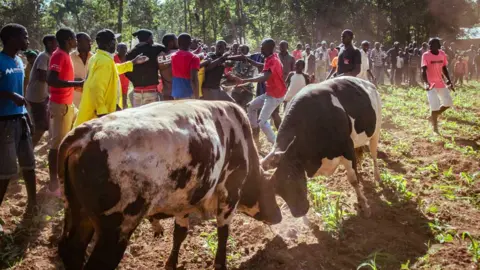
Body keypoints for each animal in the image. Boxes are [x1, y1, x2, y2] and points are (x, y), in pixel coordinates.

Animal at [57, 100, 282, 270]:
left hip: (78, 213)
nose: (279, 216)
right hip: (115, 230)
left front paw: (171, 263)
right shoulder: (229, 194)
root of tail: (86, 134)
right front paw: (220, 263)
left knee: (71, 250)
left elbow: (179, 235)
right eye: (271, 189)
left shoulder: (184, 203)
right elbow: (223, 232)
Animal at [260, 76, 380, 217]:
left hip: (375, 133)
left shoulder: (347, 149)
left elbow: (353, 180)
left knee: (374, 155)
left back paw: (377, 177)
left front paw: (364, 205)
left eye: (292, 180)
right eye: (276, 190)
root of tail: (367, 82)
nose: (298, 212)